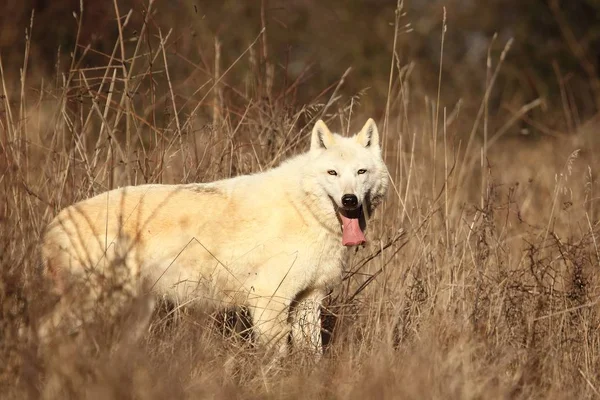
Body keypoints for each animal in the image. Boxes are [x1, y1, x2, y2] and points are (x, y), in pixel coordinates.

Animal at [41, 117, 390, 358]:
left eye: (361, 172)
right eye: (332, 173)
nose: (349, 200)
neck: (305, 211)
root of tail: (53, 224)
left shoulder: (309, 301)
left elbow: (313, 358)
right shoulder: (269, 301)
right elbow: (276, 358)